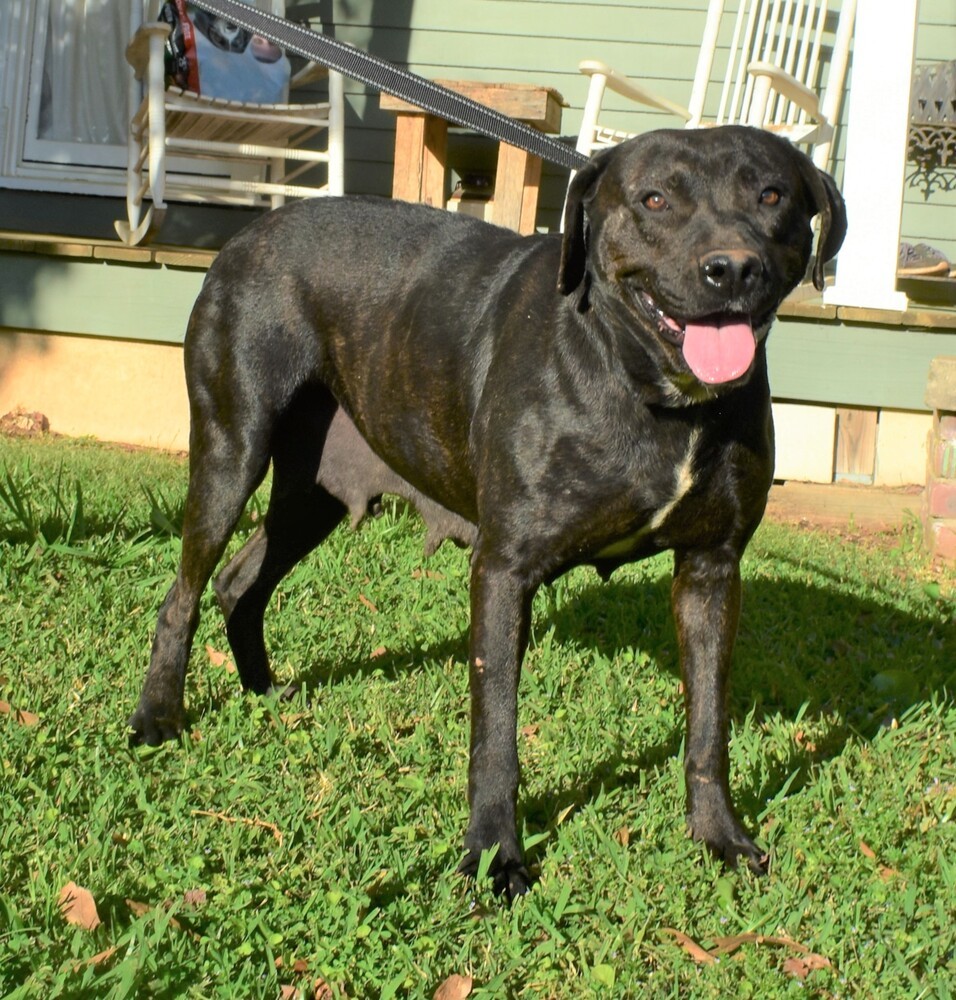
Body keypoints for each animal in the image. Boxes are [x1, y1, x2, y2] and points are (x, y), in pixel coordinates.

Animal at [129, 125, 844, 900]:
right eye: (655, 199)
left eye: (771, 194)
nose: (732, 268)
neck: (654, 387)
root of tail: (247, 234)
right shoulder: (504, 570)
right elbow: (495, 730)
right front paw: (495, 855)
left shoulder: (711, 571)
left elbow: (709, 724)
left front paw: (719, 836)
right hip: (232, 452)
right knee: (183, 593)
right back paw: (156, 719)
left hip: (313, 496)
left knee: (241, 582)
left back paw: (264, 691)